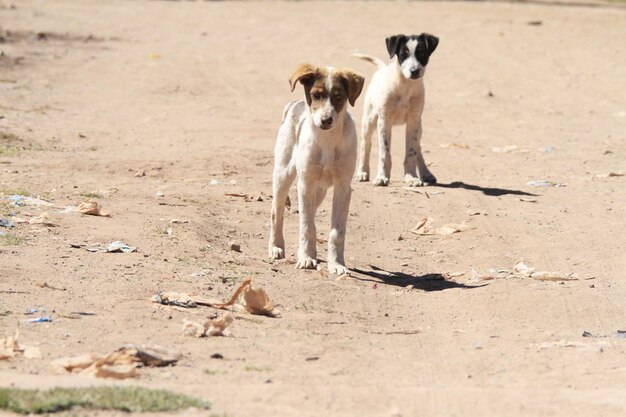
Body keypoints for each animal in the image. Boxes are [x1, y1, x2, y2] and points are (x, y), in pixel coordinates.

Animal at [266, 63, 364, 274]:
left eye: (338, 97)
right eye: (316, 95)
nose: (326, 120)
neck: (327, 140)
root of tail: (295, 103)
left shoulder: (343, 187)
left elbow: (337, 231)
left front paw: (336, 264)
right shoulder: (305, 185)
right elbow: (307, 226)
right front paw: (306, 258)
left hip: (320, 191)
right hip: (283, 175)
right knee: (277, 211)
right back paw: (276, 246)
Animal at [354, 33, 436, 186]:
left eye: (421, 53)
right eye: (403, 54)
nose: (414, 71)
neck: (405, 86)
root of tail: (381, 69)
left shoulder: (413, 122)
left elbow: (411, 152)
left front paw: (411, 177)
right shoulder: (384, 121)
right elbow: (384, 152)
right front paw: (381, 177)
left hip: (419, 127)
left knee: (418, 148)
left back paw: (426, 173)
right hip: (369, 121)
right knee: (365, 146)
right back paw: (362, 172)